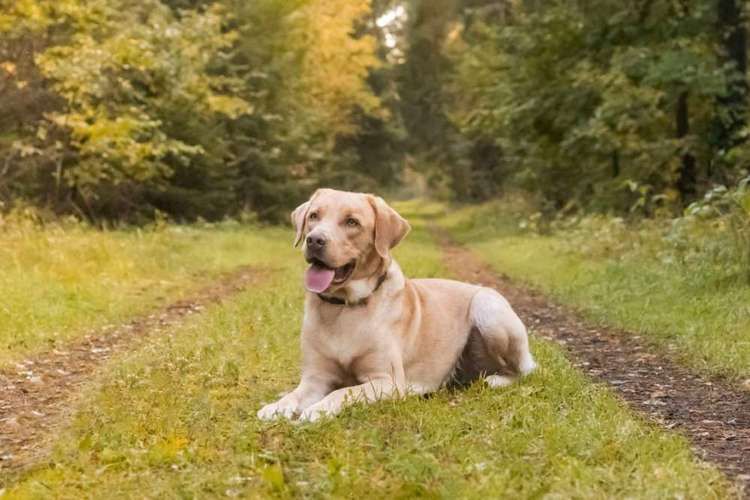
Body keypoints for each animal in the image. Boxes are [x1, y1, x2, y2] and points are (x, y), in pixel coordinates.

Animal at [258, 188, 536, 422]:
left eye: (352, 222)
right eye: (314, 216)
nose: (314, 240)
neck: (343, 307)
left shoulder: (386, 381)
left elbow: (344, 391)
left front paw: (318, 409)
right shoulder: (316, 378)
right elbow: (296, 394)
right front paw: (278, 406)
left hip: (488, 308)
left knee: (523, 371)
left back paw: (497, 380)